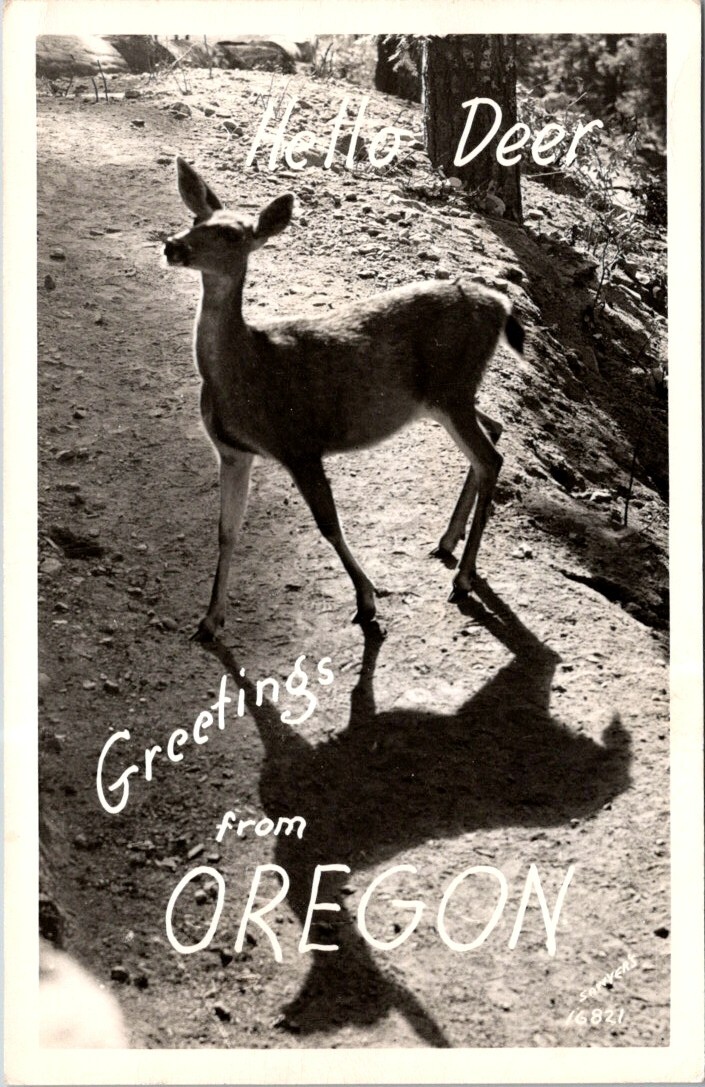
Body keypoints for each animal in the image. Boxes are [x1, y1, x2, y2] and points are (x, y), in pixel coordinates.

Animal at [164, 157, 524, 641]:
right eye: (196, 220)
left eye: (233, 235)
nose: (172, 246)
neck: (245, 371)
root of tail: (500, 303)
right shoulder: (233, 452)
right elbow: (227, 530)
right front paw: (209, 620)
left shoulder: (299, 443)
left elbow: (329, 525)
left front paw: (368, 601)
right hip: (445, 397)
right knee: (495, 430)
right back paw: (447, 542)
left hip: (451, 390)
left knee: (490, 458)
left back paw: (463, 578)